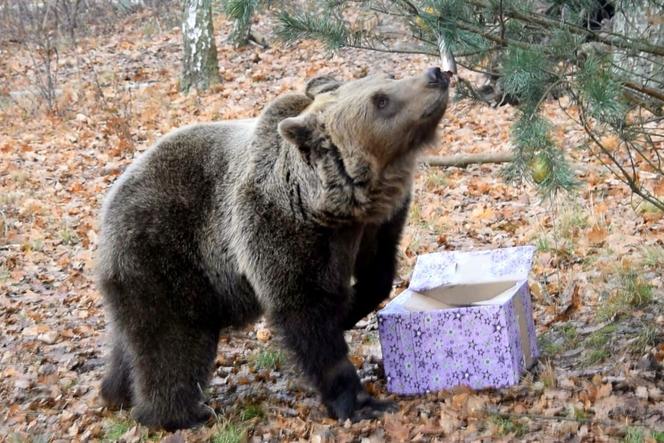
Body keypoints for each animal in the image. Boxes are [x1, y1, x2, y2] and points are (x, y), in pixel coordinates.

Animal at [98, 67, 452, 432]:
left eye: (388, 78)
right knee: (173, 342)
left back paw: (116, 392)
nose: (435, 73)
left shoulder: (377, 227)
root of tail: (112, 196)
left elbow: (377, 276)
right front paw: (361, 402)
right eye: (380, 100)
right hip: (165, 252)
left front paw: (349, 311)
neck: (333, 208)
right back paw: (177, 415)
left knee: (132, 339)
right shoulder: (275, 229)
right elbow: (304, 314)